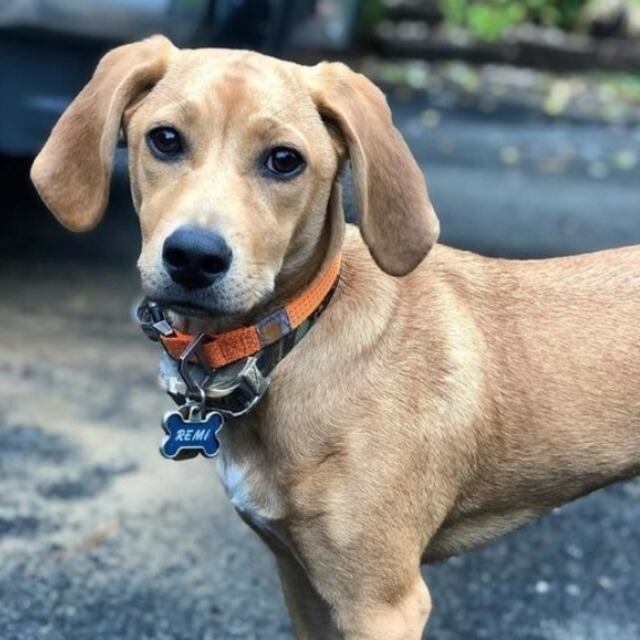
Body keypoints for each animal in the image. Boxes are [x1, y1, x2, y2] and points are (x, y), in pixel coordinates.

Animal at [31, 36, 640, 639]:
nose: (194, 257)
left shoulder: (381, 604)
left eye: (284, 160)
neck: (292, 343)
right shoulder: (300, 576)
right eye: (164, 139)